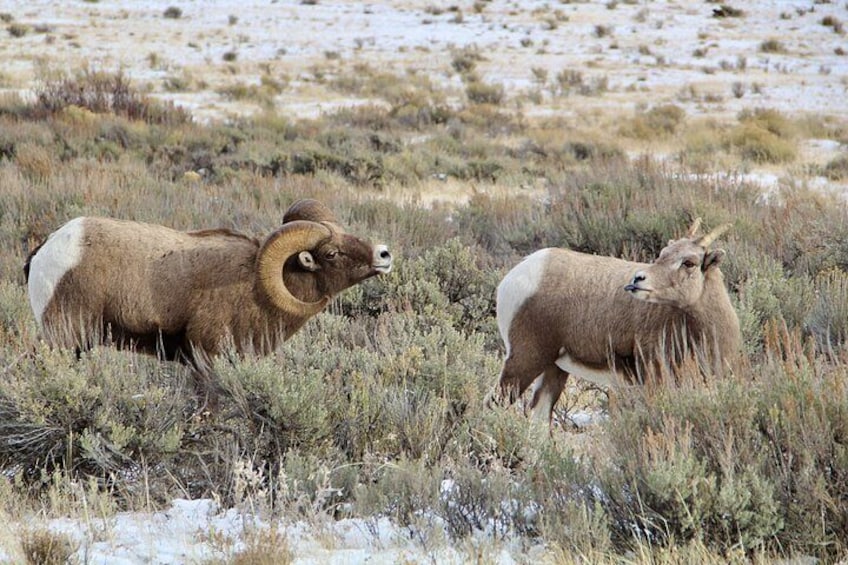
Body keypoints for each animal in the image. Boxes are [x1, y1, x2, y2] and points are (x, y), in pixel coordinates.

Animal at [494, 218, 740, 423]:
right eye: (663, 254)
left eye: (689, 262)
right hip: (525, 361)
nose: (638, 279)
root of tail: (518, 274)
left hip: (553, 369)